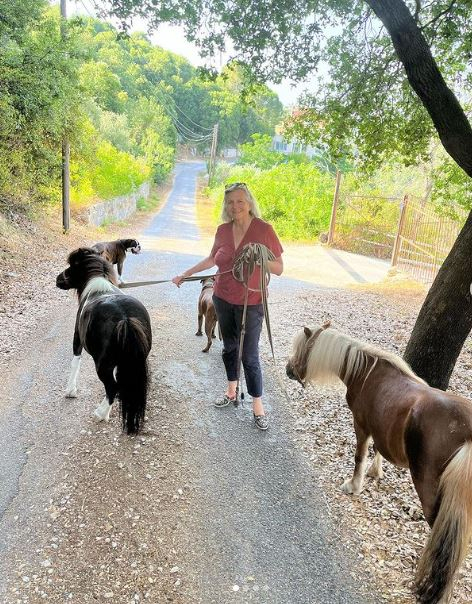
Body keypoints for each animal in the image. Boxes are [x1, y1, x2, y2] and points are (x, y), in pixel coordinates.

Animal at [55, 247, 152, 434]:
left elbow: (75, 363)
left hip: (102, 364)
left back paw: (100, 414)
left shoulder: (77, 339)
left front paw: (70, 391)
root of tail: (125, 318)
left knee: (113, 386)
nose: (57, 279)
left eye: (71, 266)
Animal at [286, 324, 472, 604]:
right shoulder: (379, 424)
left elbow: (359, 455)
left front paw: (354, 485)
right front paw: (376, 472)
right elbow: (377, 449)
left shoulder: (361, 424)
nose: (288, 369)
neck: (365, 371)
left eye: (301, 349)